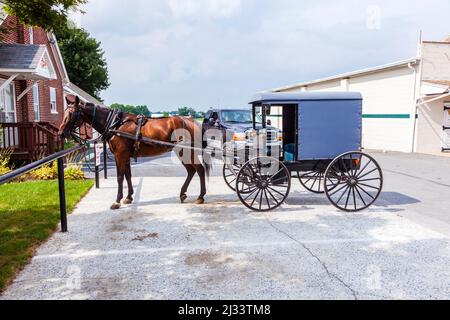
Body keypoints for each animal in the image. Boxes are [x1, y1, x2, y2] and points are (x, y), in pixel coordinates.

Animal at [59, 95, 212, 210]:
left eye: (72, 113)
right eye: (65, 112)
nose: (61, 133)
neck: (116, 124)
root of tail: (192, 121)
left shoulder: (120, 155)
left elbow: (120, 177)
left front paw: (117, 200)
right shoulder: (124, 156)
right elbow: (128, 175)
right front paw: (128, 197)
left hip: (186, 151)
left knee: (199, 169)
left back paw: (200, 197)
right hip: (181, 151)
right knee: (191, 171)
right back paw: (183, 194)